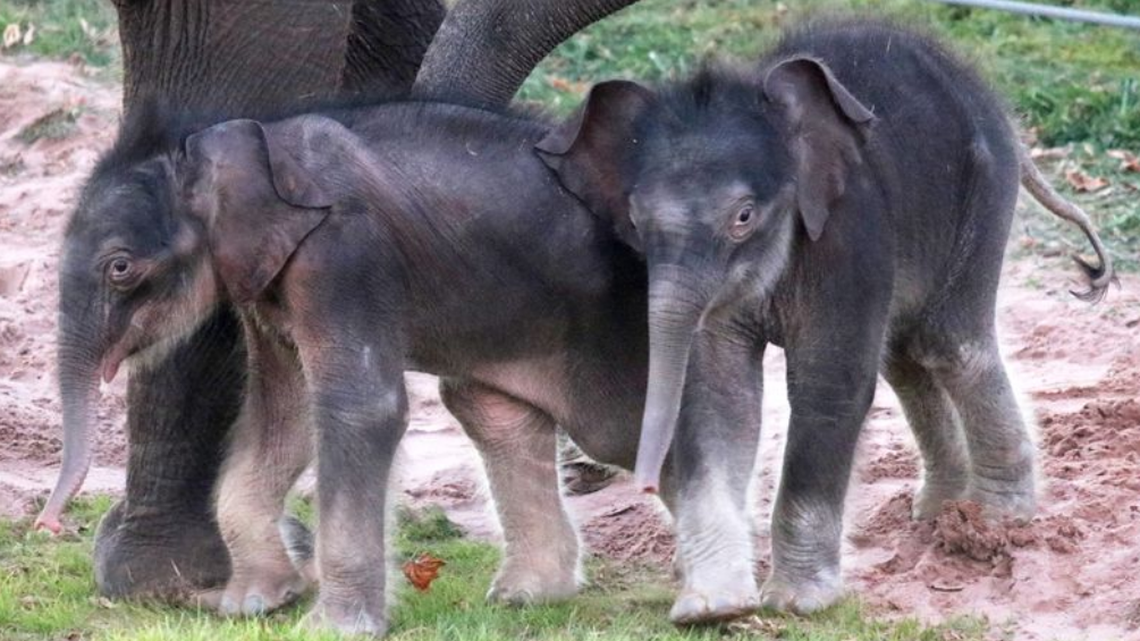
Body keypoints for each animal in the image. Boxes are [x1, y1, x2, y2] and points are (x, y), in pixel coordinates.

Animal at [40, 0, 639, 605]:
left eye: (120, 269)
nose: (48, 525)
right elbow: (289, 412)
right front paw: (250, 593)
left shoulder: (336, 261)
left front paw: (181, 580)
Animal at [536, 20, 1114, 615]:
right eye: (635, 221)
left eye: (743, 217)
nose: (645, 483)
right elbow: (721, 394)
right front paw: (713, 606)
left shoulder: (847, 231)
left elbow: (828, 384)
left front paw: (795, 604)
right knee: (904, 355)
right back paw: (939, 512)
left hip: (982, 192)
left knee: (949, 345)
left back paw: (998, 520)